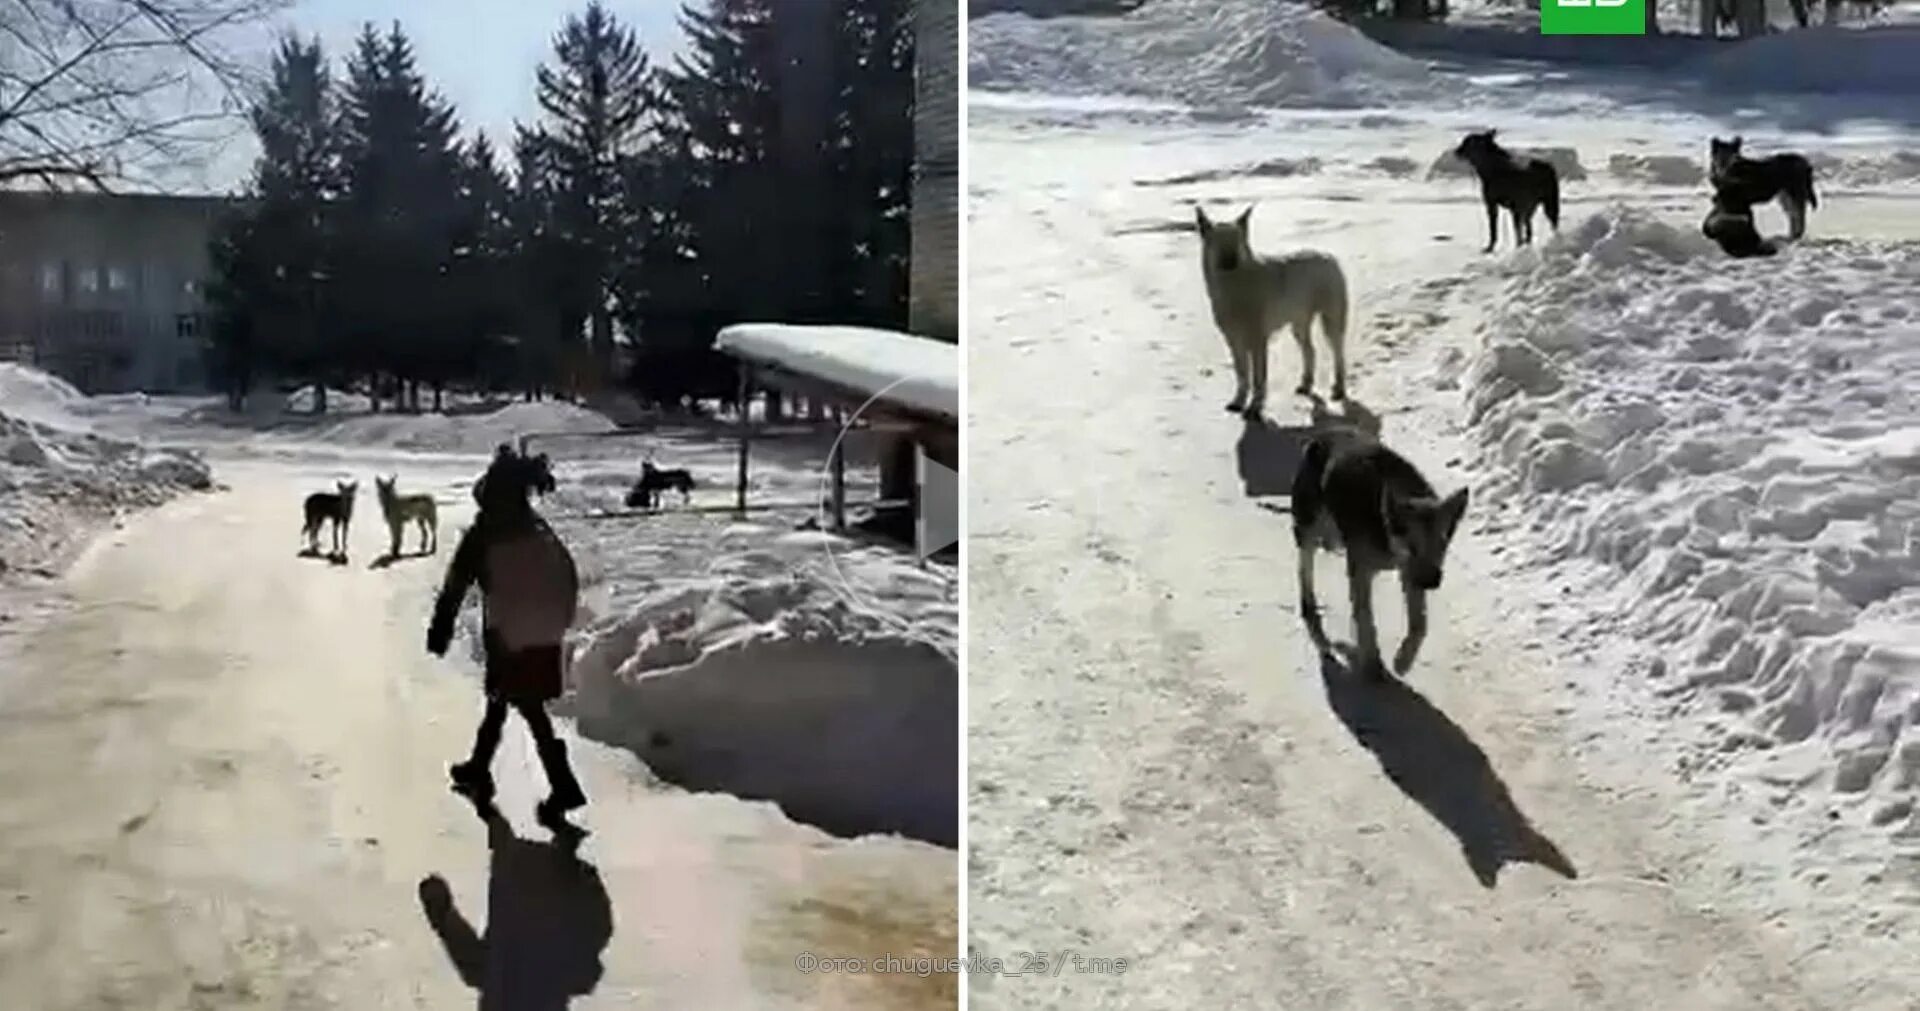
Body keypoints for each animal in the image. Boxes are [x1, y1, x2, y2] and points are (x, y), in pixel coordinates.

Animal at [428, 446, 583, 828]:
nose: (478, 487)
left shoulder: (475, 538)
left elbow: (454, 586)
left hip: (510, 667)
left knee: (512, 714)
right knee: (535, 721)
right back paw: (562, 796)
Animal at [1182, 205, 1351, 416]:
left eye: (1236, 241)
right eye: (1217, 243)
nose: (1230, 262)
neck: (1235, 285)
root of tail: (1327, 255)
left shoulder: (1258, 342)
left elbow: (1259, 378)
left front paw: (1255, 406)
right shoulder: (1234, 341)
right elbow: (1242, 375)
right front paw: (1238, 401)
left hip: (1331, 322)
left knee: (1338, 353)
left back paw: (1339, 388)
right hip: (1298, 325)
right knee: (1310, 350)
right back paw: (1306, 384)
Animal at [1290, 431, 1466, 675]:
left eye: (1442, 544)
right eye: (1412, 544)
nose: (1432, 581)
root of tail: (1325, 435)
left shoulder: (1409, 574)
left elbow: (1419, 623)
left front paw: (1403, 660)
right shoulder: (1363, 570)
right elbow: (1365, 617)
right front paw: (1372, 661)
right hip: (1309, 524)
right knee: (1305, 565)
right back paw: (1309, 605)